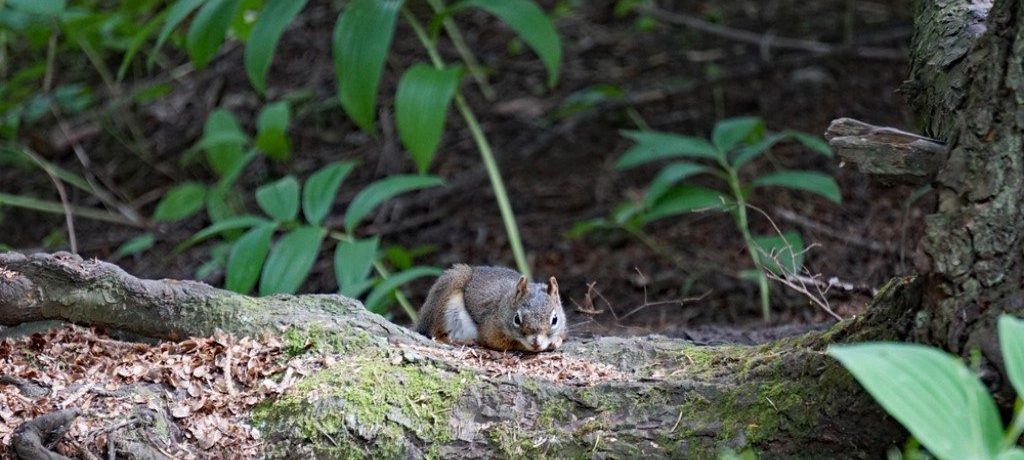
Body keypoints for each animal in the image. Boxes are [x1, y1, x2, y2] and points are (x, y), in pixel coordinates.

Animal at [415, 262, 569, 352]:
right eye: (516, 319)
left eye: (555, 319)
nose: (536, 343)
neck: (504, 305)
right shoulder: (490, 329)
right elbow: (503, 343)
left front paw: (556, 340)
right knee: (435, 333)